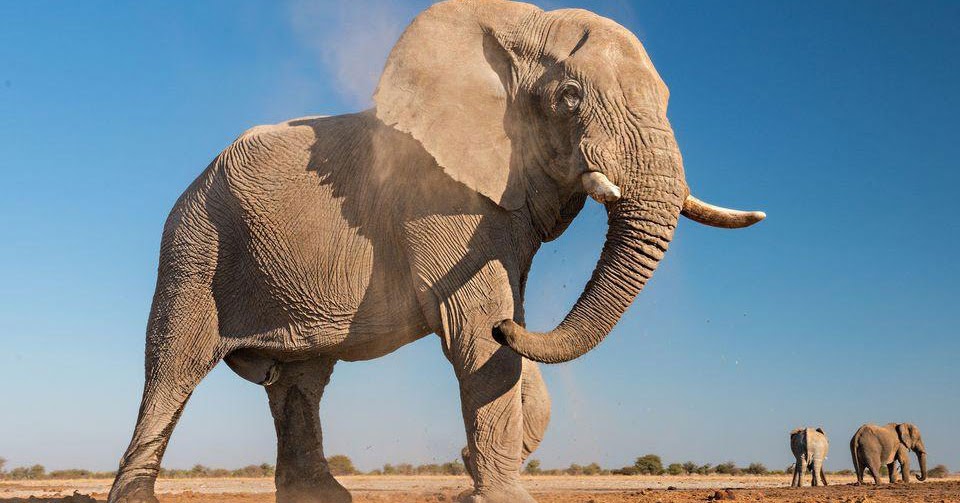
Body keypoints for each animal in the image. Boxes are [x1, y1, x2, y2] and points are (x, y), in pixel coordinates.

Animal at [107, 1, 765, 502]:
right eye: (569, 97)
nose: (461, 460)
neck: (517, 28)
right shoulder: (436, 196)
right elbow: (474, 327)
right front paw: (500, 493)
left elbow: (508, 334)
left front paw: (480, 464)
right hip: (194, 245)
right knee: (174, 367)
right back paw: (137, 495)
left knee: (301, 380)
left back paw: (323, 497)